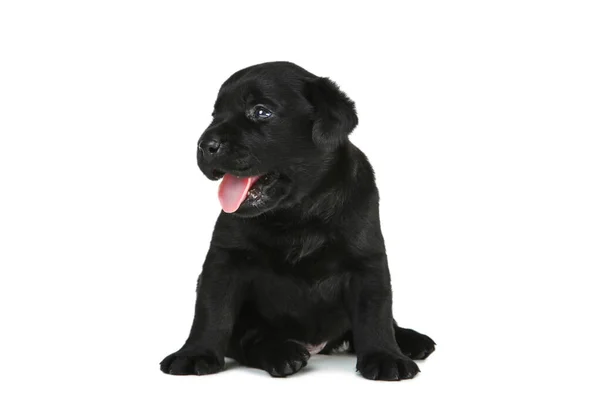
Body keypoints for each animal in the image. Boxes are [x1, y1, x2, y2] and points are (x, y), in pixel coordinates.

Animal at [157, 62, 434, 382]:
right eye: (215, 114)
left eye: (261, 111)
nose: (205, 145)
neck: (298, 212)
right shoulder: (224, 259)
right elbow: (211, 311)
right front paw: (195, 353)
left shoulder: (367, 261)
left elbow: (375, 313)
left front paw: (385, 356)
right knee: (249, 337)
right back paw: (283, 354)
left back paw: (411, 340)